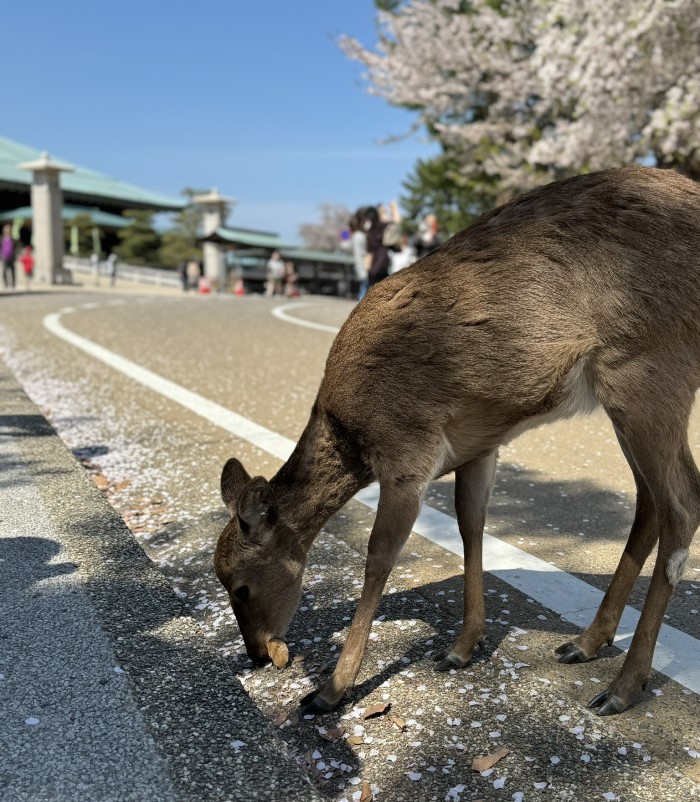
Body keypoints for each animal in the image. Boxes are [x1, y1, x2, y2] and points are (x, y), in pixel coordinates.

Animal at [213, 167, 700, 712]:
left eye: (240, 588)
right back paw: (586, 642)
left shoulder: (407, 451)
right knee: (649, 500)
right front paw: (462, 648)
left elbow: (379, 556)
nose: (258, 653)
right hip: (627, 396)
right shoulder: (478, 445)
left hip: (648, 367)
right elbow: (471, 526)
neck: (350, 432)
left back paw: (623, 686)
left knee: (683, 504)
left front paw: (331, 689)